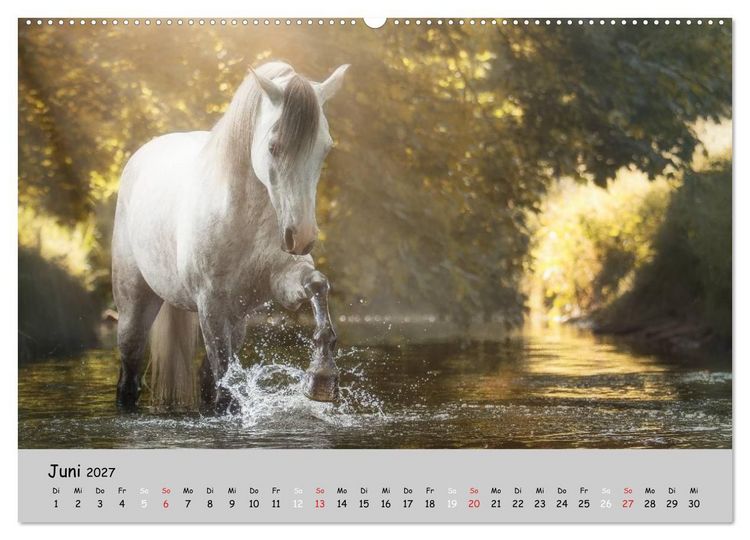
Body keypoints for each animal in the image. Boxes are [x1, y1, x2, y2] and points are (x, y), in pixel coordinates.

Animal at [111, 61, 350, 412]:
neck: (242, 217)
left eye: (325, 149)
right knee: (129, 374)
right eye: (273, 146)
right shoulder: (211, 304)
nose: (302, 237)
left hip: (237, 319)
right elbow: (225, 379)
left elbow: (318, 285)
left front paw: (322, 378)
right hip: (135, 307)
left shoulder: (281, 280)